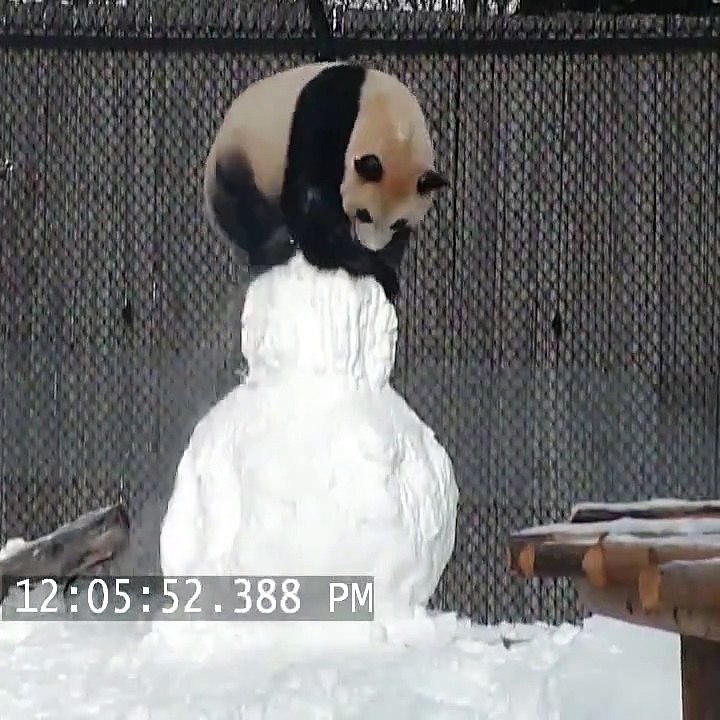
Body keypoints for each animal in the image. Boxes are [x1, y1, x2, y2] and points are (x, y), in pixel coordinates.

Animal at [203, 61, 448, 302]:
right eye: (364, 214)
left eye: (399, 223)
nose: (371, 248)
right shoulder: (328, 112)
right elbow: (311, 200)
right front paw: (372, 268)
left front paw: (385, 262)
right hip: (241, 164)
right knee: (246, 210)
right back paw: (274, 247)